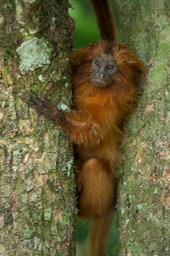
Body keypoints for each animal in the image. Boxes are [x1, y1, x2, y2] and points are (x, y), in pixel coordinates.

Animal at [20, 0, 146, 256]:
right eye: (97, 63)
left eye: (110, 67)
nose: (99, 73)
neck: (97, 90)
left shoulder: (112, 107)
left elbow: (92, 133)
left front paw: (55, 113)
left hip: (103, 196)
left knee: (94, 166)